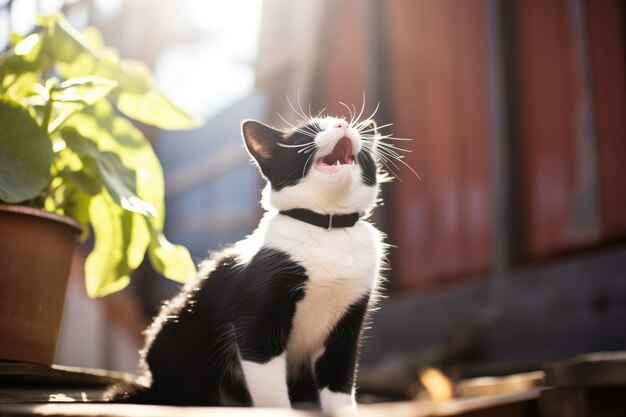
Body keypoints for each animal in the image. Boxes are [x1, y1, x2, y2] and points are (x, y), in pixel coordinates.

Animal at [108, 111, 390, 410]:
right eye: (309, 131)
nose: (343, 124)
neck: (327, 228)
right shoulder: (257, 314)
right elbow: (269, 383)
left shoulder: (348, 323)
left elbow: (339, 376)